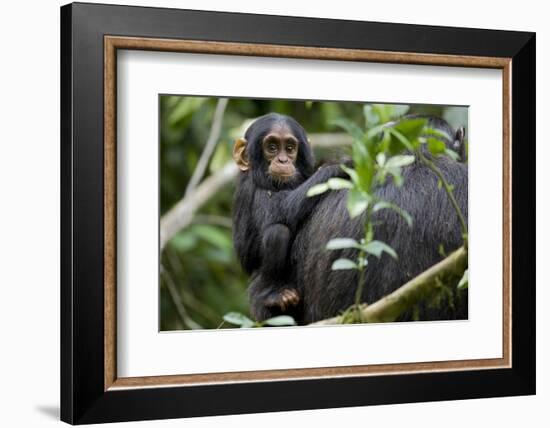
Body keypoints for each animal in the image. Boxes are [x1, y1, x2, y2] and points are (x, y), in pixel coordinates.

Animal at [232, 113, 350, 320]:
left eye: (289, 148)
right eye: (271, 147)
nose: (282, 160)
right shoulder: (258, 189)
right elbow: (282, 211)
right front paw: (337, 165)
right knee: (277, 232)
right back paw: (271, 295)